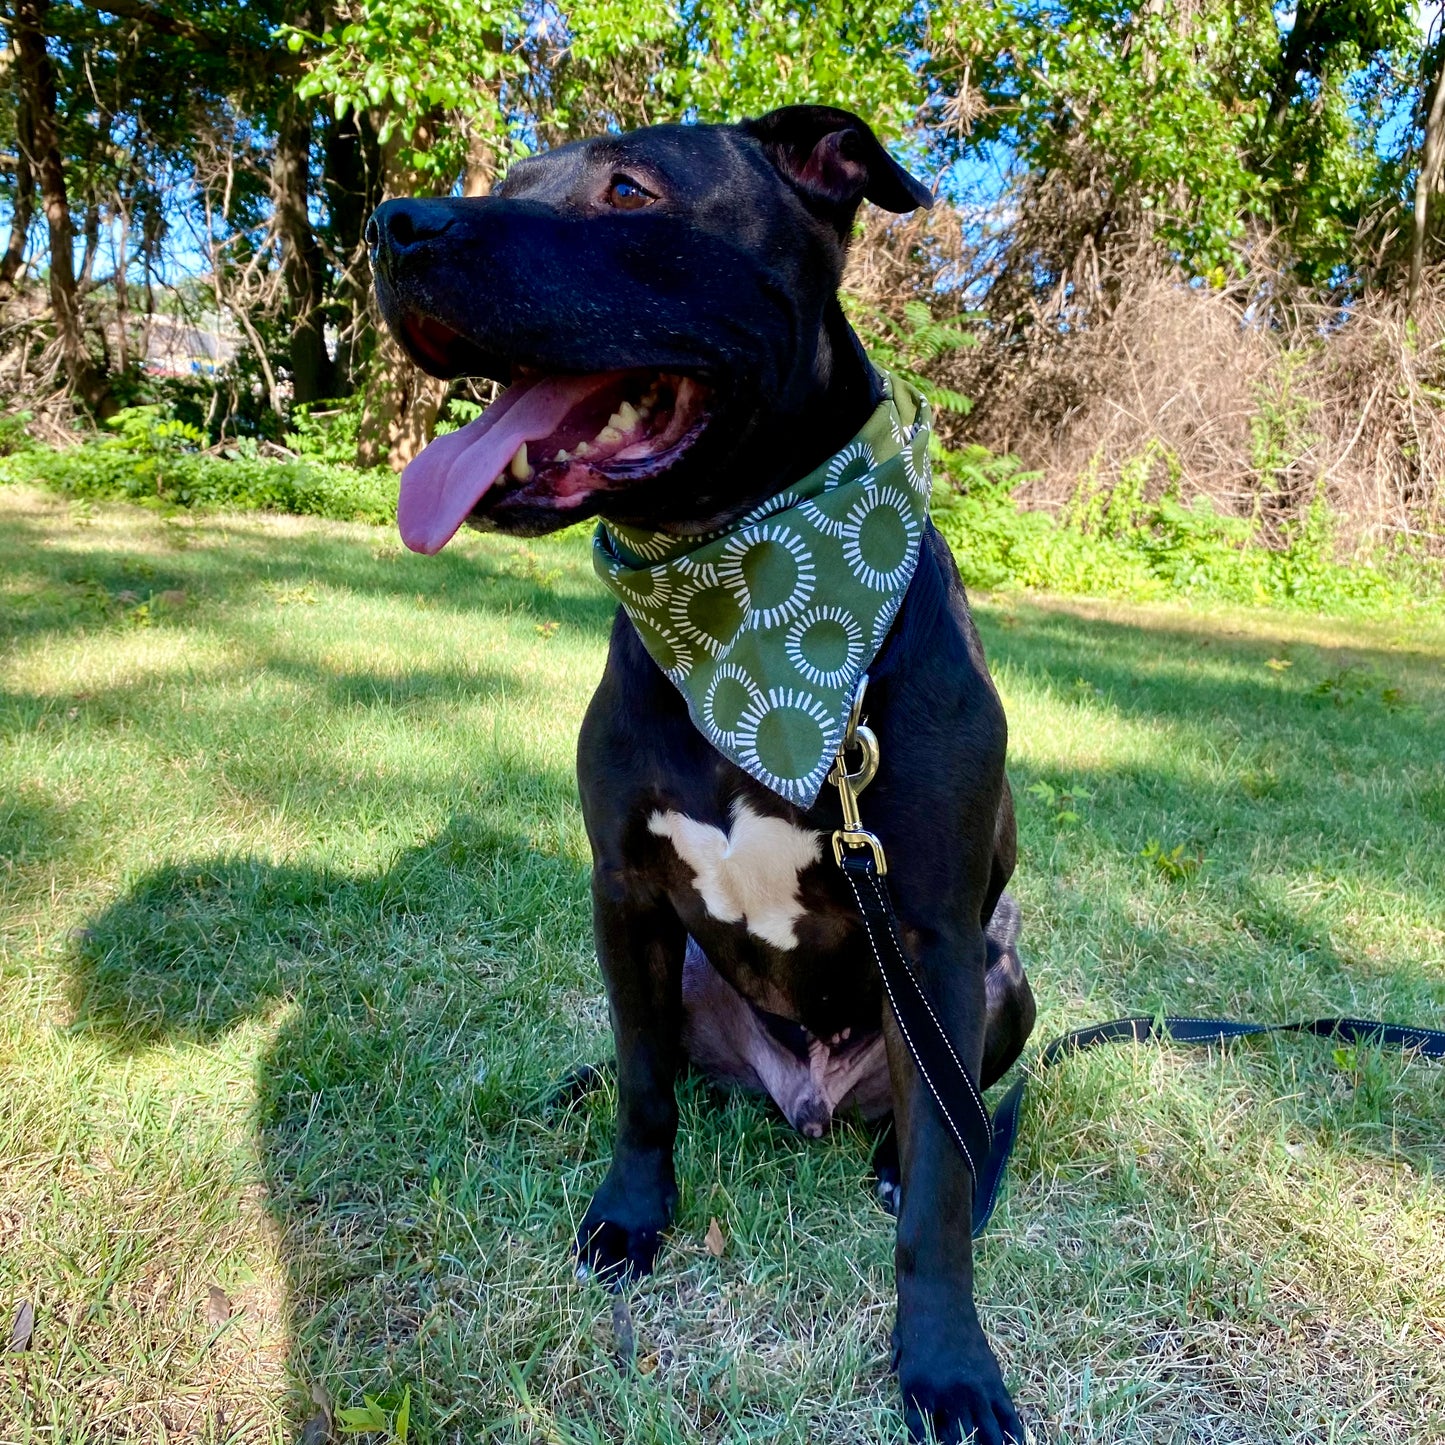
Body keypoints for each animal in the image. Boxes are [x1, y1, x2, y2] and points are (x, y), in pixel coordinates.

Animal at [367, 104, 1034, 1445]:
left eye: (630, 191)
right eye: (518, 177)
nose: (393, 223)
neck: (749, 604)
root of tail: (806, 1096)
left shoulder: (933, 930)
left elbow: (944, 1181)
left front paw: (946, 1360)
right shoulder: (623, 890)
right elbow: (641, 1086)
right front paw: (629, 1214)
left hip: (1000, 977)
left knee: (953, 1121)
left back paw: (891, 1160)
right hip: (684, 969)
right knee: (667, 1060)